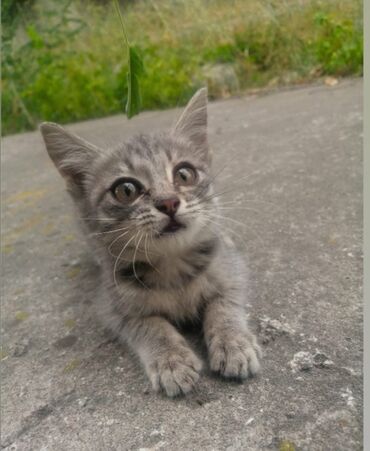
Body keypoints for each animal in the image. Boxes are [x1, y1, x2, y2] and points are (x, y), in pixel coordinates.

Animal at [40, 89, 260, 400]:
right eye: (126, 190)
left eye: (184, 174)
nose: (168, 202)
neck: (172, 268)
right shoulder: (112, 306)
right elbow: (149, 324)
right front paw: (171, 360)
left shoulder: (231, 269)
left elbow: (224, 305)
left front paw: (233, 342)